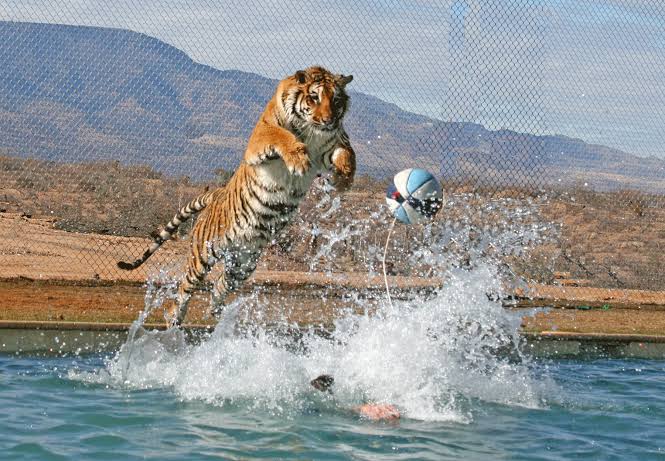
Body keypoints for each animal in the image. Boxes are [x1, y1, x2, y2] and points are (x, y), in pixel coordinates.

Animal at [118, 66, 356, 327]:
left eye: (336, 100)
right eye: (314, 97)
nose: (328, 120)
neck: (313, 133)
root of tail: (216, 193)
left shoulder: (334, 142)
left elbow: (348, 155)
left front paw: (343, 180)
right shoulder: (262, 136)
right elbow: (281, 136)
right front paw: (299, 160)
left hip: (244, 262)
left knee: (220, 285)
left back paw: (217, 311)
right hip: (204, 253)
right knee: (184, 289)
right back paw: (175, 319)